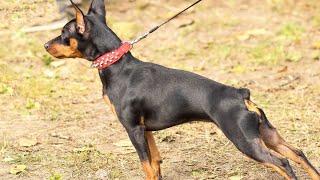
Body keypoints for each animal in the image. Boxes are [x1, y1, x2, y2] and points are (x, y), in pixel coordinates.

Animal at [44, 0, 320, 179]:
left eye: (63, 33)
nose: (46, 44)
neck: (118, 66)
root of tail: (241, 94)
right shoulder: (146, 130)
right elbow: (155, 163)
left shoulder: (133, 128)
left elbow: (146, 167)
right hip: (266, 134)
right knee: (298, 154)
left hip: (244, 139)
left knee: (282, 163)